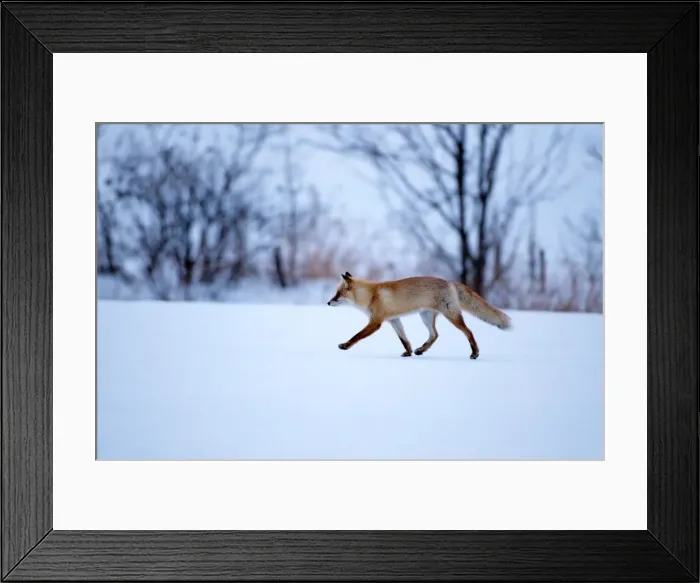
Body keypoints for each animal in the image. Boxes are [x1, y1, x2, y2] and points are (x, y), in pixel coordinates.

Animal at [327, 272, 511, 359]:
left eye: (338, 294)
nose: (328, 302)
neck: (371, 295)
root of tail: (450, 282)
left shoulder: (376, 321)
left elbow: (357, 336)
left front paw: (345, 345)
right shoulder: (394, 320)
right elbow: (404, 340)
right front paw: (408, 352)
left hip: (451, 315)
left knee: (469, 332)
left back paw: (475, 353)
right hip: (426, 317)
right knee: (435, 335)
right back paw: (421, 350)